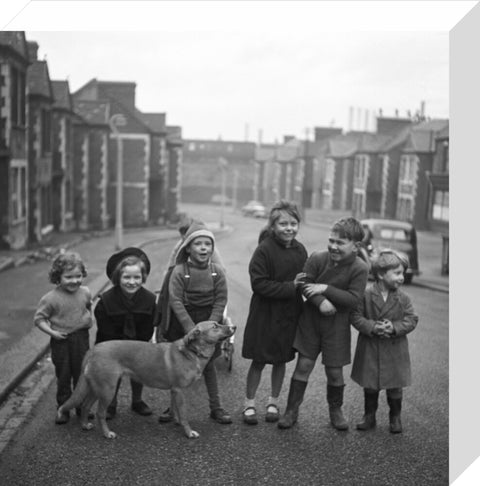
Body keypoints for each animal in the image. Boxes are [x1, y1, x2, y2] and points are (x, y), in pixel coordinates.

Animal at [57, 320, 235, 438]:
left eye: (219, 323)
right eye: (215, 326)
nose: (234, 327)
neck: (192, 352)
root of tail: (94, 349)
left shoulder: (174, 391)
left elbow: (176, 411)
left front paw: (176, 422)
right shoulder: (179, 391)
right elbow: (184, 415)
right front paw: (188, 432)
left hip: (96, 387)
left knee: (85, 406)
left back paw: (84, 425)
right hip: (107, 390)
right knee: (100, 413)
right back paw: (107, 434)